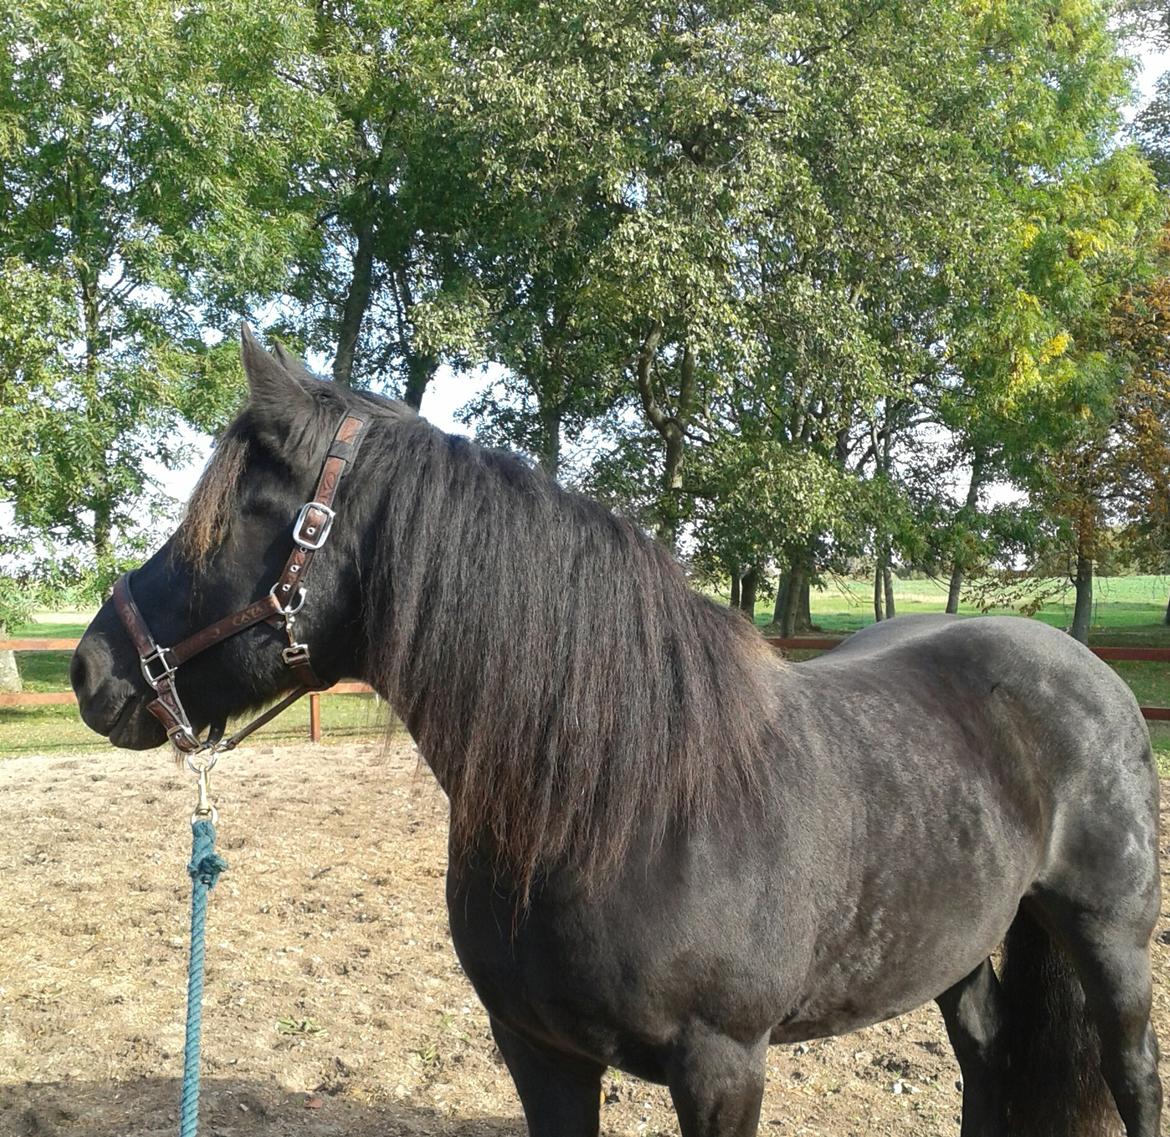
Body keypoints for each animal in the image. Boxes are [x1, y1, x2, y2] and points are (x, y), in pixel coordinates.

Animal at [72, 328, 1162, 1137]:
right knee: (986, 1057)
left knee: (1133, 1074)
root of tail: (1088, 672)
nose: (93, 669)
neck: (620, 803)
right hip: (962, 941)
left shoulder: (723, 1067)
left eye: (237, 515)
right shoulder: (539, 1052)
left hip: (1109, 938)